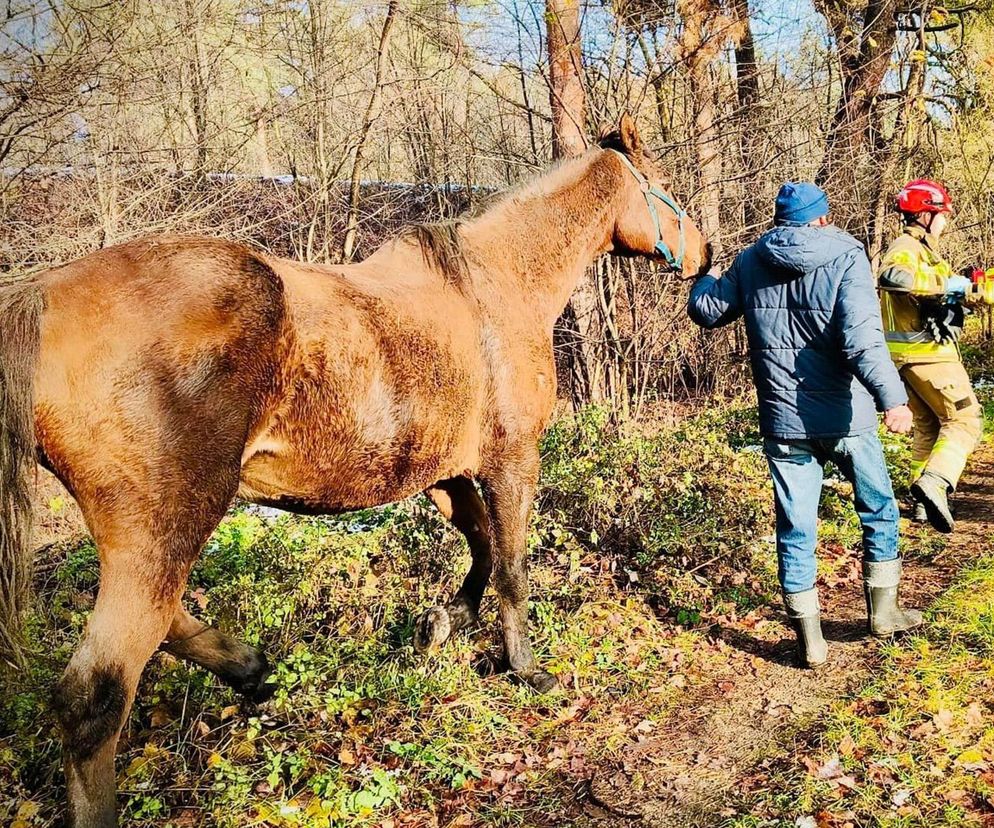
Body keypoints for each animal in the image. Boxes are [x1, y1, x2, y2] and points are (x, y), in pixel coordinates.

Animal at [1, 113, 712, 824]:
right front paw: (525, 667)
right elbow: (510, 565)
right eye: (663, 187)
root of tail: (42, 294)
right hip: (167, 526)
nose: (705, 254)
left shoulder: (445, 473)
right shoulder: (511, 461)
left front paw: (441, 623)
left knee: (160, 623)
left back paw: (251, 667)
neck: (491, 287)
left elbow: (481, 549)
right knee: (93, 697)